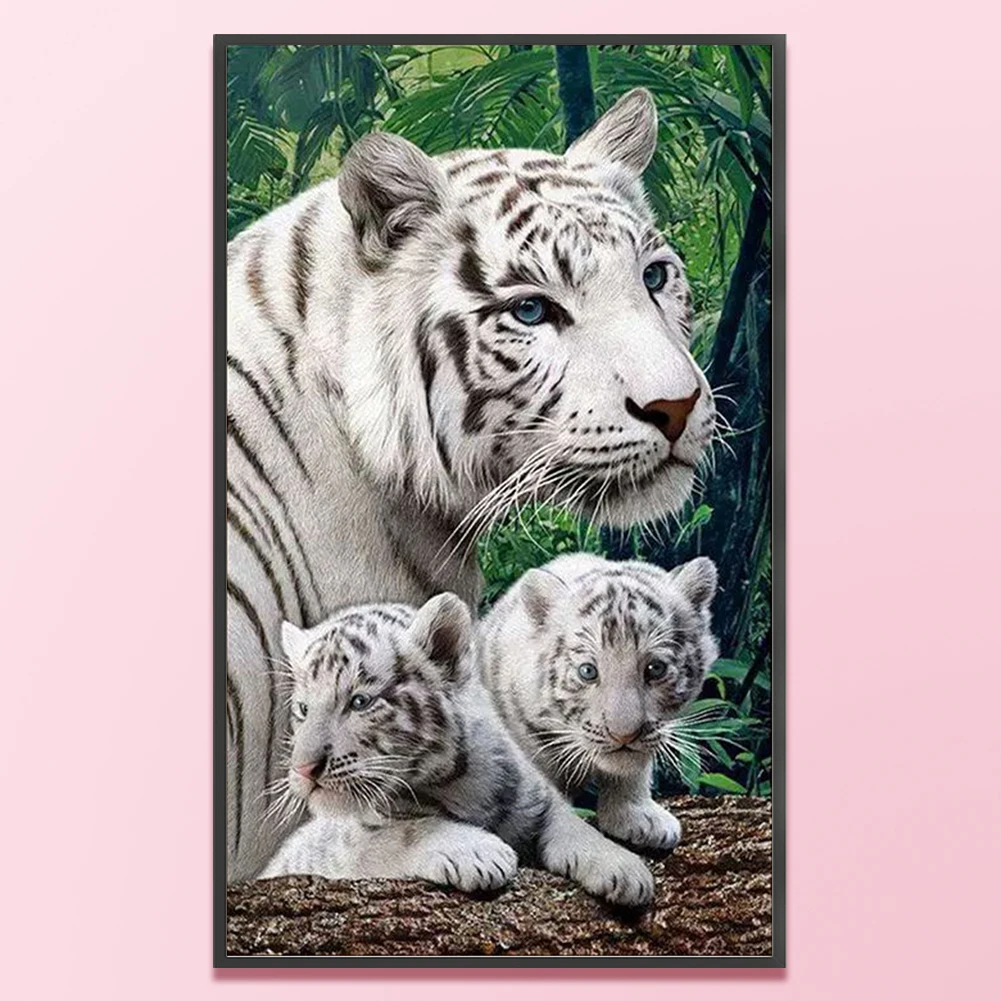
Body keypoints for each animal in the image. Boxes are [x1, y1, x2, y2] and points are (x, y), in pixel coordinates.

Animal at [262, 594, 655, 907]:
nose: (303, 769)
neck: (456, 782)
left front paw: (626, 870)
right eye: (303, 709)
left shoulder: (538, 798)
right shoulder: (343, 846)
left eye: (360, 702)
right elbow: (403, 832)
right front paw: (481, 853)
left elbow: (573, 825)